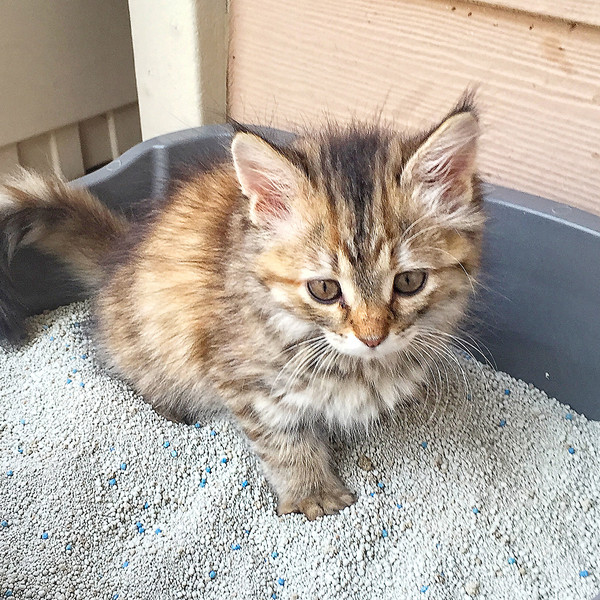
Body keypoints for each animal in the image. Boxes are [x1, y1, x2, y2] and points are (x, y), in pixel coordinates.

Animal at [0, 97, 486, 520]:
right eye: (324, 289)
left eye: (409, 282)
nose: (372, 337)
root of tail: (118, 256)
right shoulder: (244, 379)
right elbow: (283, 441)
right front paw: (312, 493)